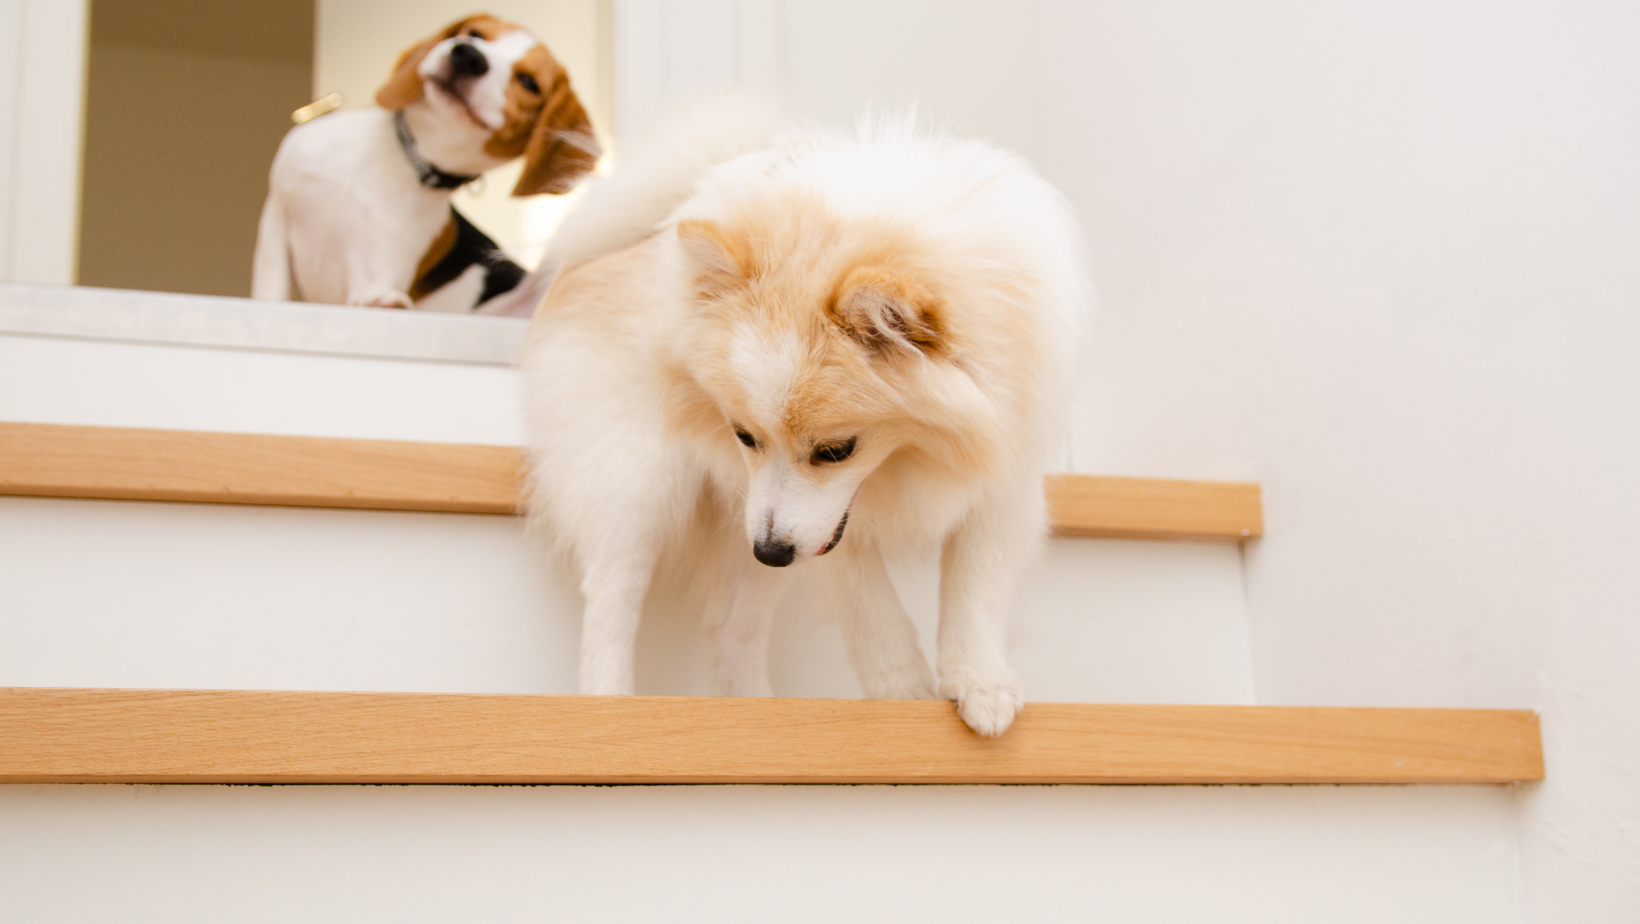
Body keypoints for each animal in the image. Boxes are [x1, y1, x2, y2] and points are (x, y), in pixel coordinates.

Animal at [249, 13, 596, 315]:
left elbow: (371, 289)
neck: (404, 158)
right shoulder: (276, 222)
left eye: (529, 82)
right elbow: (270, 289)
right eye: (474, 34)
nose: (468, 55)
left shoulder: (378, 264)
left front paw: (382, 301)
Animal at [521, 102, 1088, 738]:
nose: (770, 552)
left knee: (729, 627)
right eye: (744, 437)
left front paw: (980, 681)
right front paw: (901, 689)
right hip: (638, 485)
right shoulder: (824, 525)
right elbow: (869, 605)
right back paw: (609, 703)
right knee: (611, 599)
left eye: (836, 450)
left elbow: (976, 589)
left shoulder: (1004, 470)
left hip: (735, 523)